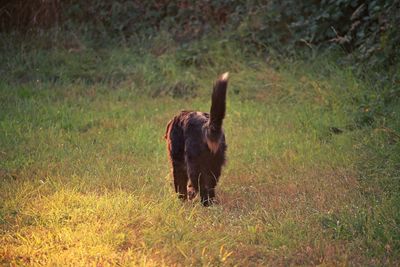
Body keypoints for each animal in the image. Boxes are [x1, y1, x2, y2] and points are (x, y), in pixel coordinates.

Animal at [165, 72, 228, 206]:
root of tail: (206, 125)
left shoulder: (177, 163)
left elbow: (180, 186)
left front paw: (182, 201)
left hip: (194, 166)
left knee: (202, 187)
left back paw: (204, 204)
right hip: (215, 165)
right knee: (210, 187)